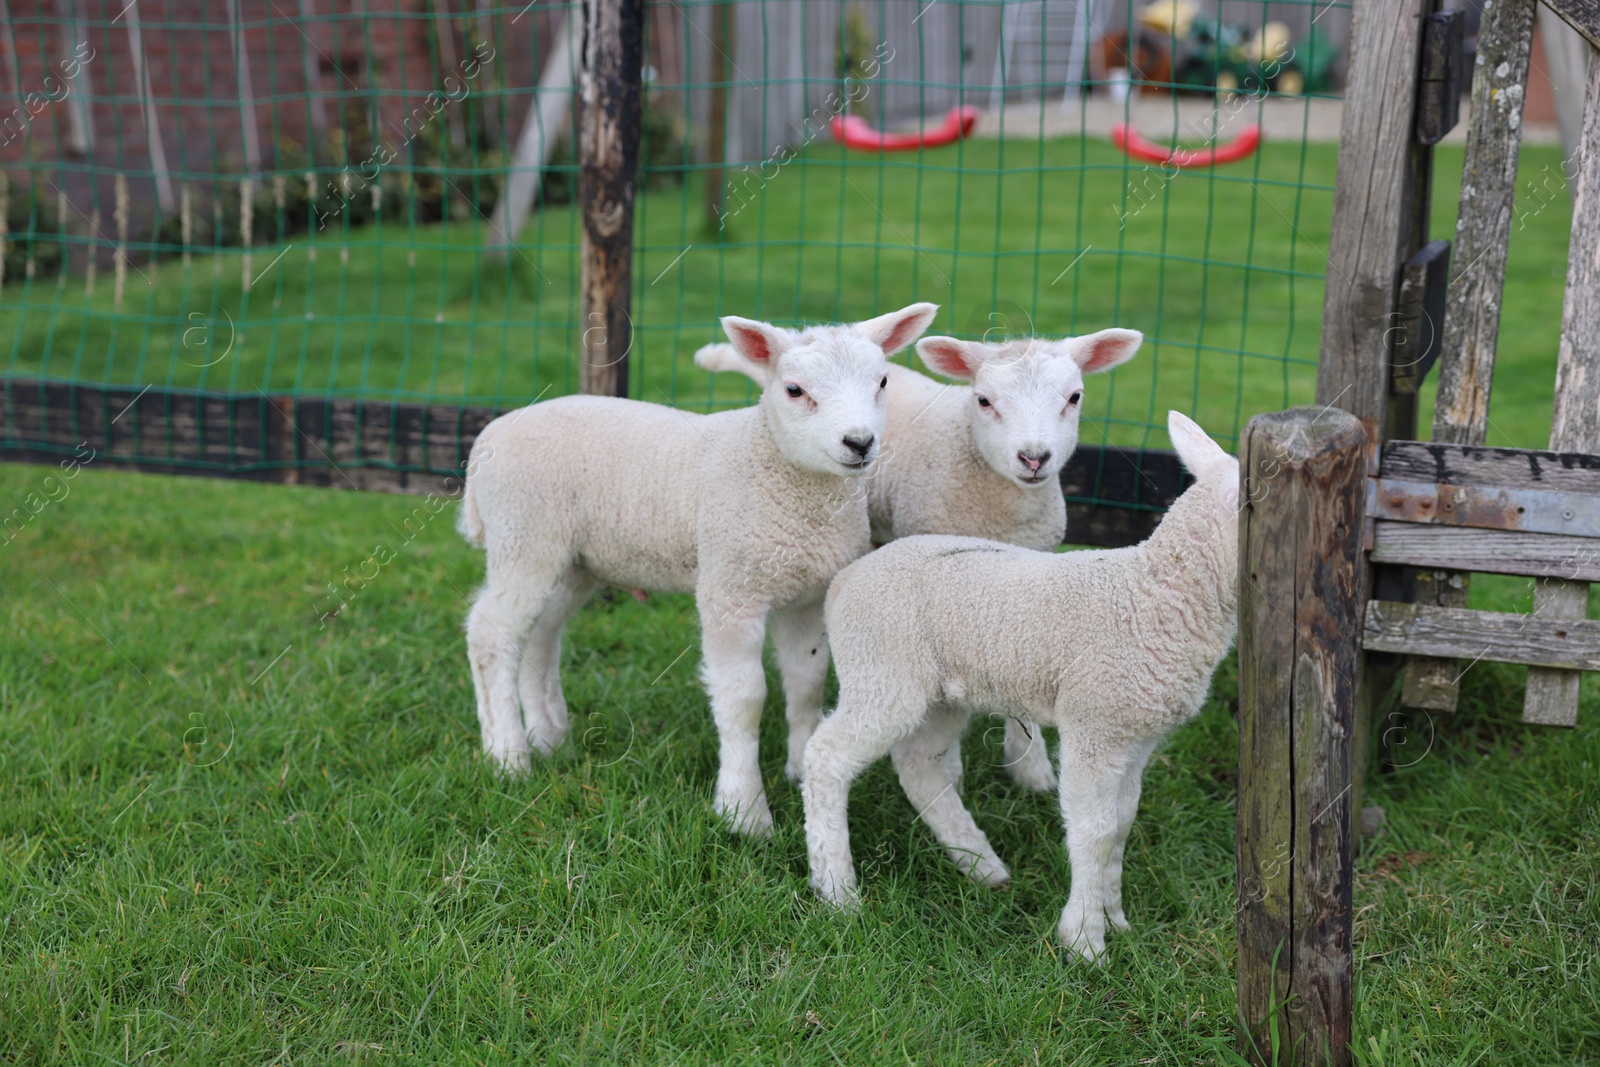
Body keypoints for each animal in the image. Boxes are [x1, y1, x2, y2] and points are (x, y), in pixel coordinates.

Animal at [460, 302, 934, 844]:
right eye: (794, 390)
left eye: (882, 382)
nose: (859, 442)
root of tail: (488, 436)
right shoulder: (731, 588)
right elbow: (744, 697)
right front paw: (744, 811)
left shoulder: (808, 593)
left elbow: (807, 681)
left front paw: (797, 770)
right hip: (523, 534)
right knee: (490, 633)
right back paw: (507, 755)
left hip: (571, 558)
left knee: (539, 633)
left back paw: (548, 735)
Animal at [800, 412, 1235, 966]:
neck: (1156, 594)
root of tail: (844, 581)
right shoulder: (1095, 724)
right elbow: (1093, 831)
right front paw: (1085, 941)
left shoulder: (1136, 736)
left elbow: (1121, 825)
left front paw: (1116, 918)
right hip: (882, 671)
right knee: (826, 758)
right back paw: (837, 890)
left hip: (938, 691)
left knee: (919, 766)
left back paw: (981, 864)